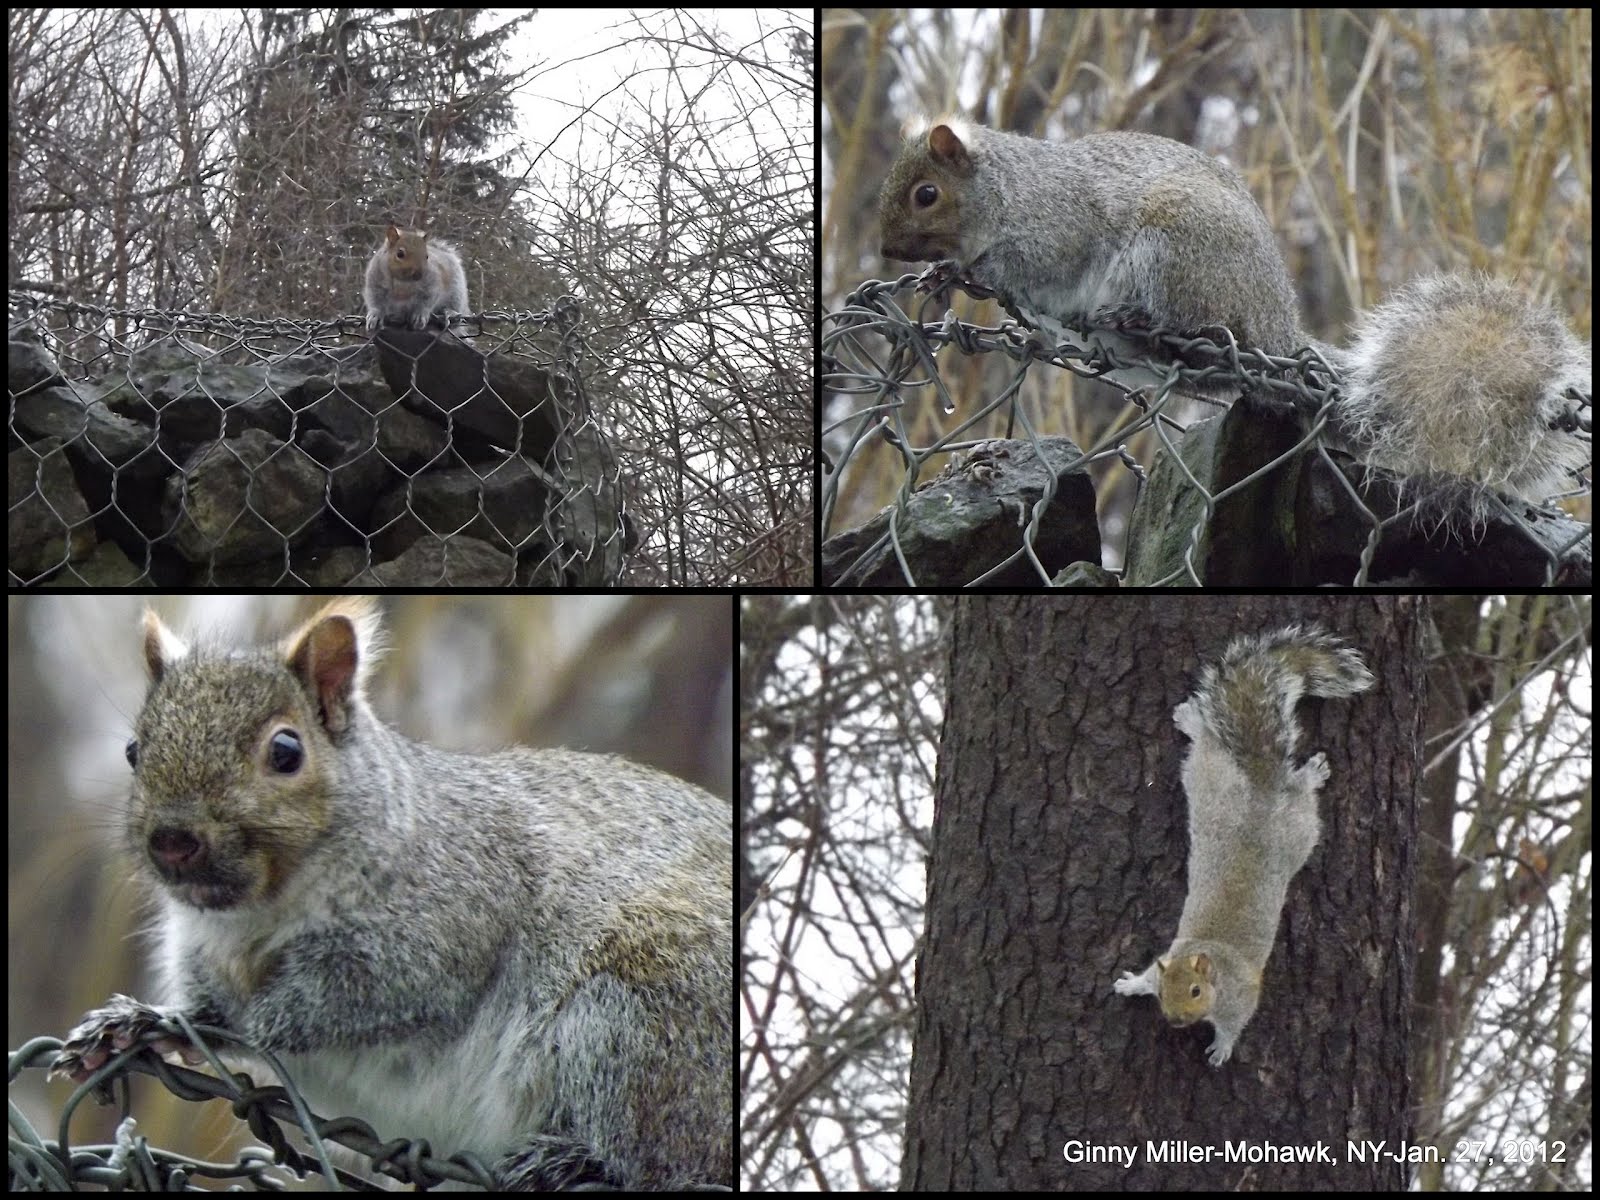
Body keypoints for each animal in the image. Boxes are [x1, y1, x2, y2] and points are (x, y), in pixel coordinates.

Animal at [53, 597, 731, 1190]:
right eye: (134, 750)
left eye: (286, 751)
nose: (172, 841)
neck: (256, 913)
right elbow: (207, 1018)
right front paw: (139, 1027)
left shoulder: (441, 928)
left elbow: (338, 1007)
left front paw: (248, 1025)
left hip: (640, 1023)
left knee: (659, 1157)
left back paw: (575, 1162)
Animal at [877, 116, 1301, 399]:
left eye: (926, 194)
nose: (888, 250)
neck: (1008, 188)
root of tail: (1278, 326)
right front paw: (939, 270)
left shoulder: (1059, 232)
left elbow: (1030, 265)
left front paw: (964, 268)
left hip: (1183, 251)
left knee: (1193, 322)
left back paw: (1137, 315)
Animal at [1111, 625, 1374, 1067]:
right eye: (1165, 991)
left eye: (1196, 991)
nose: (1176, 1020)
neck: (1210, 958)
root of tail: (1261, 787)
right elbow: (1147, 974)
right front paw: (1132, 984)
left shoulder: (1242, 995)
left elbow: (1236, 1023)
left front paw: (1222, 1047)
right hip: (1214, 780)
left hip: (1291, 824)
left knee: (1265, 775)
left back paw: (1307, 773)